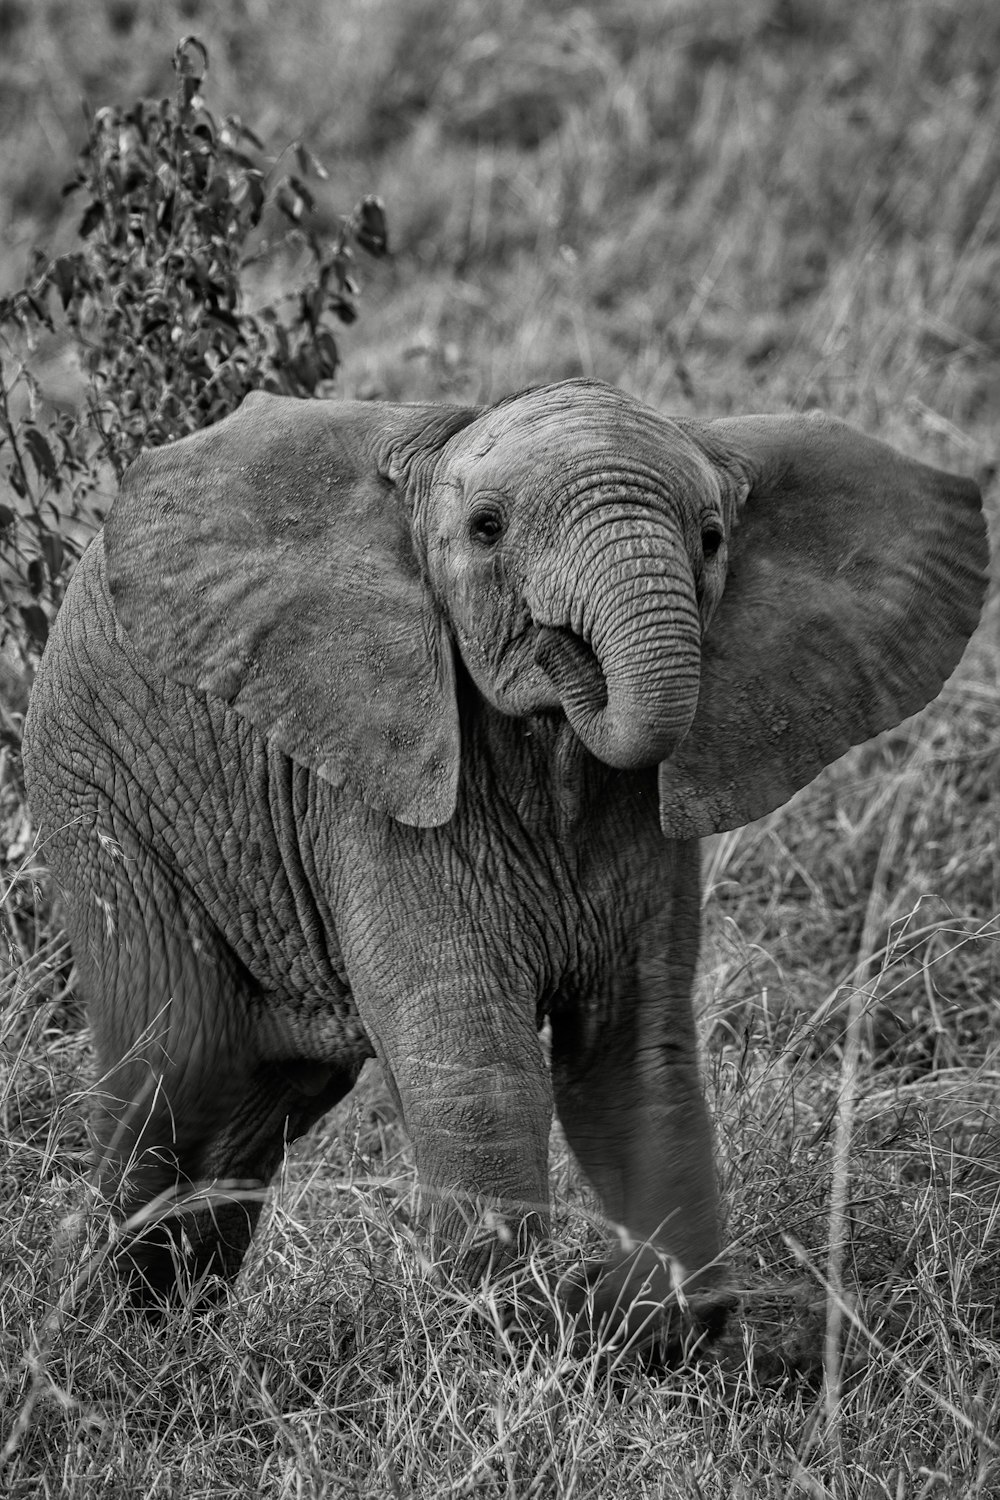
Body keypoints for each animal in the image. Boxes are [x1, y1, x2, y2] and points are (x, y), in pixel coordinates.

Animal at [21, 375, 983, 1350]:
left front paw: (654, 1325)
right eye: (487, 529)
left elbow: (633, 1058)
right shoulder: (377, 785)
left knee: (255, 1099)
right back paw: (91, 1325)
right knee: (176, 1067)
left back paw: (167, 1324)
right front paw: (508, 1335)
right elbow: (477, 1058)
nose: (555, 643)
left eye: (712, 540)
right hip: (98, 793)